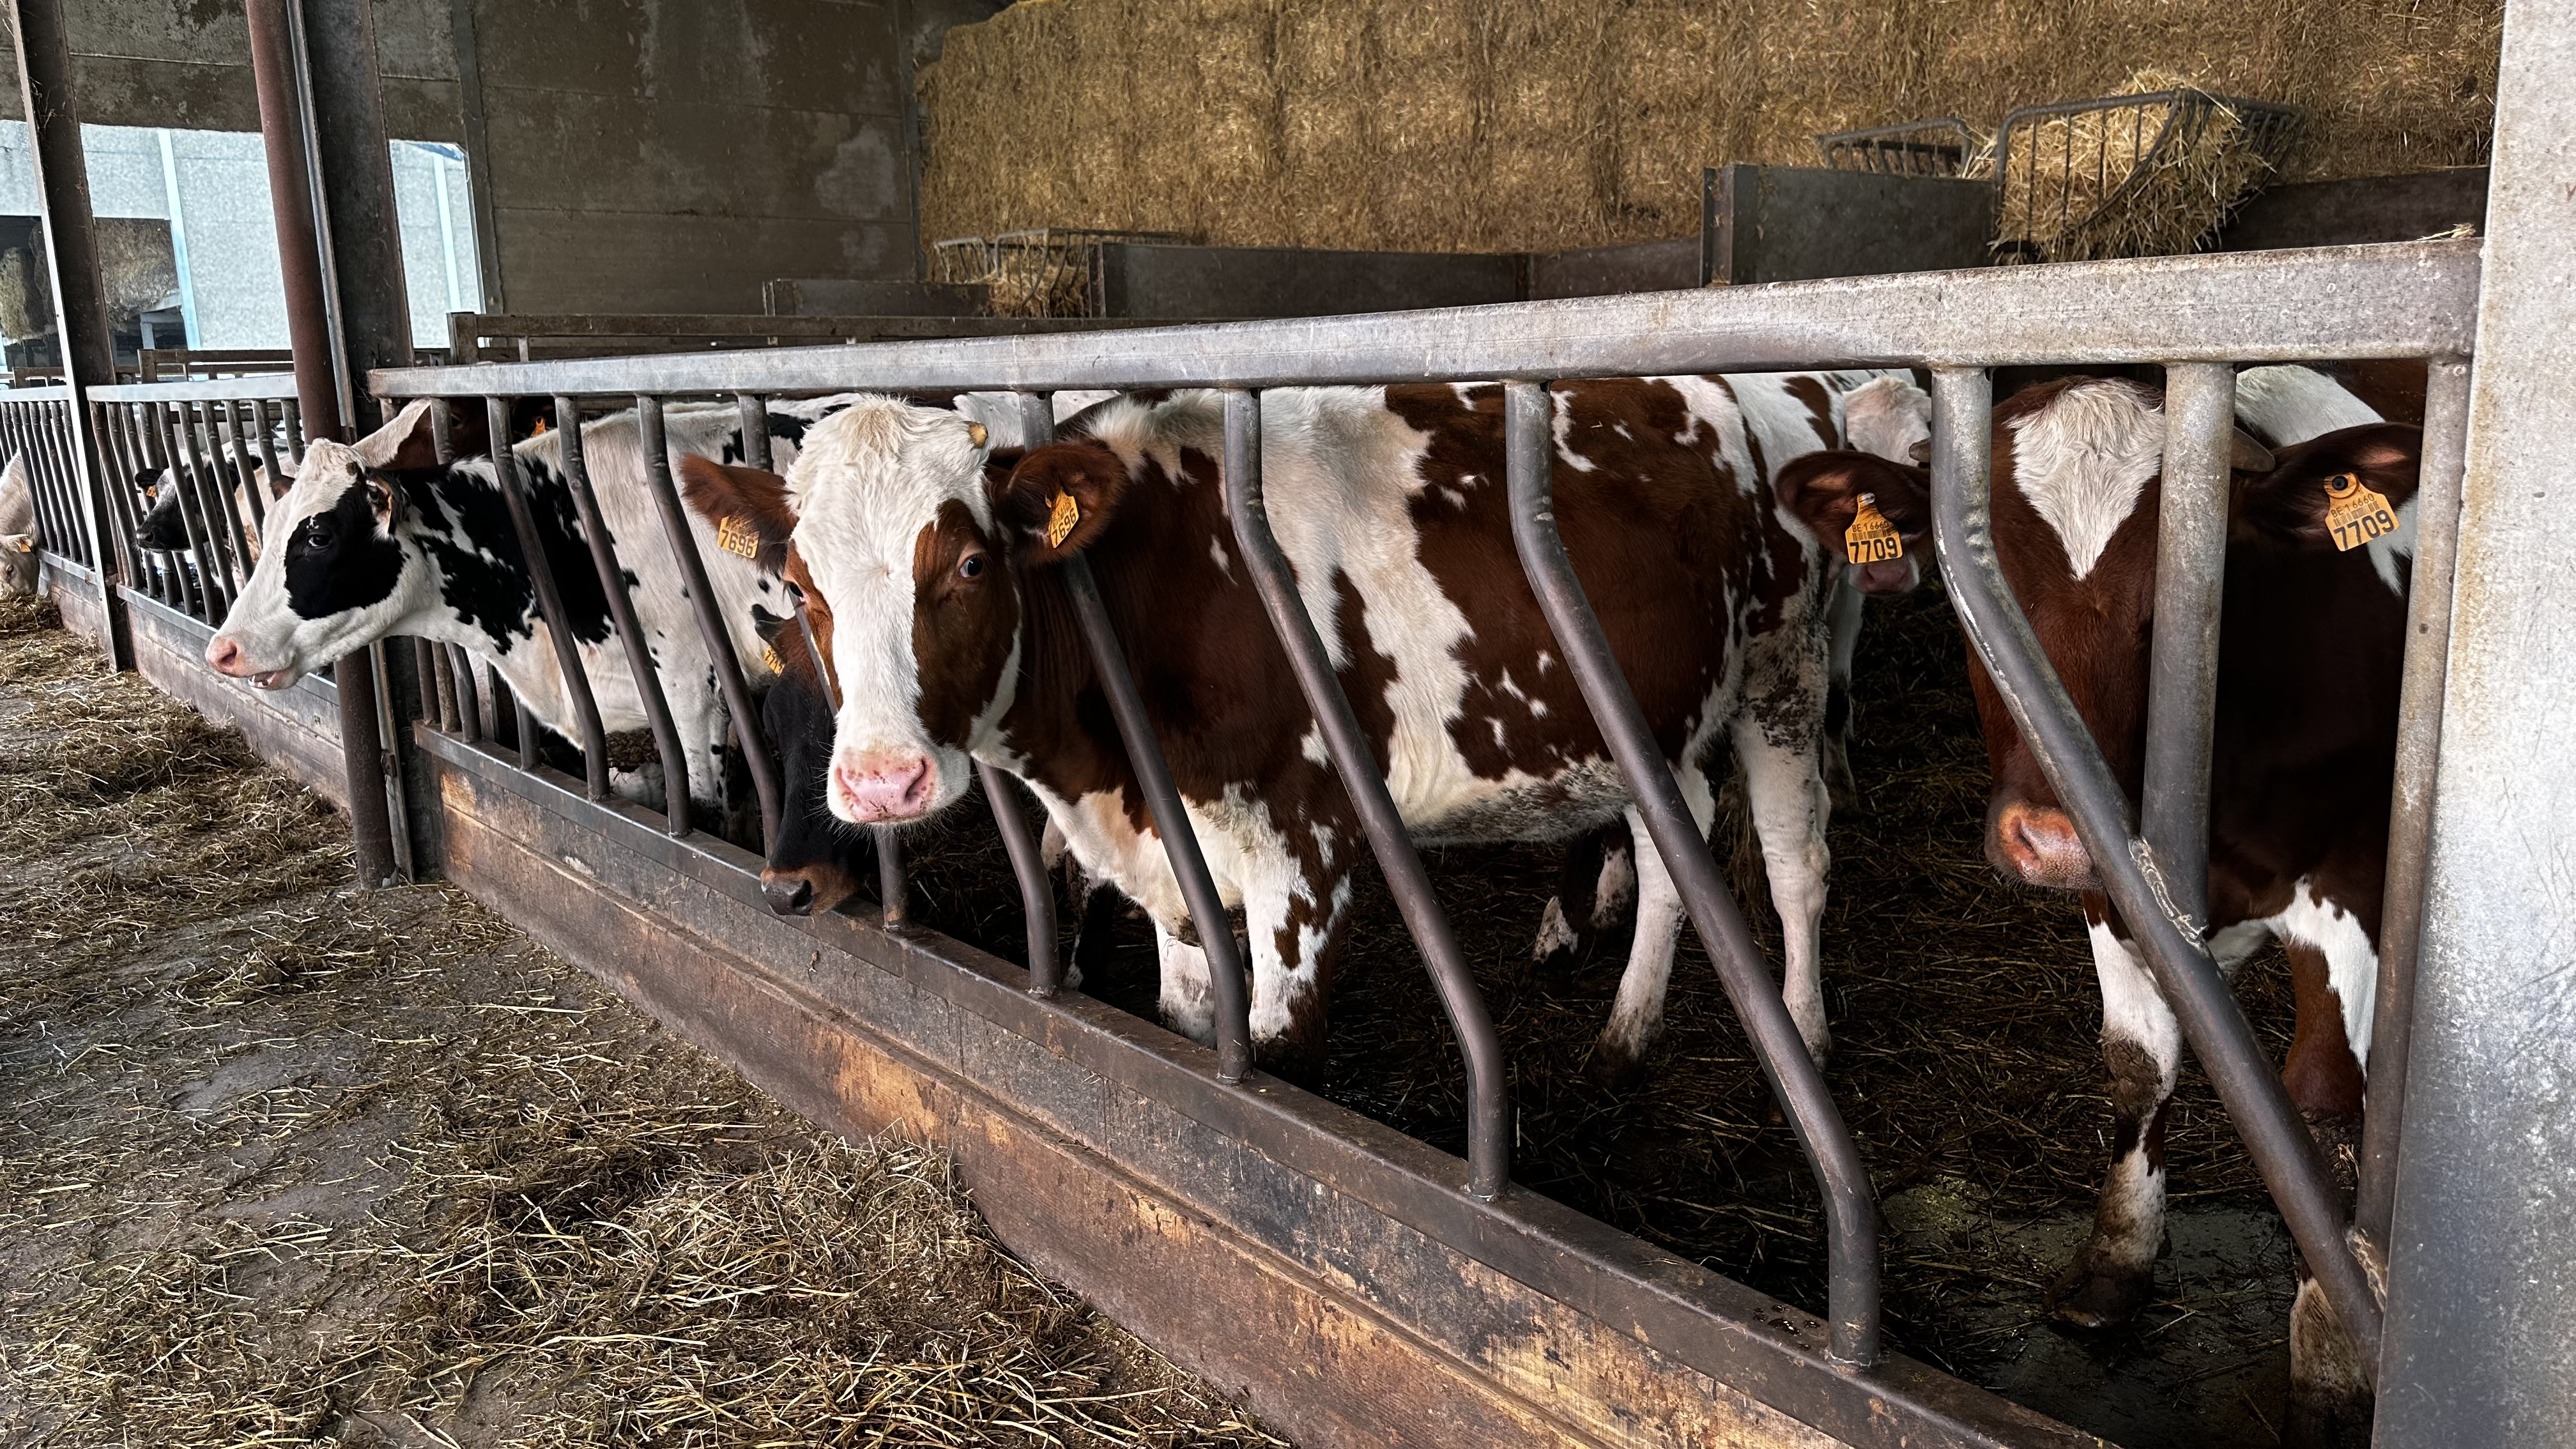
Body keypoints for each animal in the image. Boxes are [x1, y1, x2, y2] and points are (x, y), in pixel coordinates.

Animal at [745, 373, 1924, 1079]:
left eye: (970, 564)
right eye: (800, 585)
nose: (881, 782)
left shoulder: (1302, 856)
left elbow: (1273, 1062)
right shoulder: (1177, 859)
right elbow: (1189, 1021)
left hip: (1784, 667)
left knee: (1794, 859)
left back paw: (1805, 1029)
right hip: (1643, 718)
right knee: (1675, 834)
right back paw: (1627, 1028)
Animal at [1821, 364, 2418, 1446]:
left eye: (2190, 600)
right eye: (1982, 600)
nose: (2051, 835)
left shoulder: (2351, 878)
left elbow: (2321, 1111)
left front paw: (2330, 1363)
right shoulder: (2111, 884)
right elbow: (2138, 1062)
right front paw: (2114, 1264)